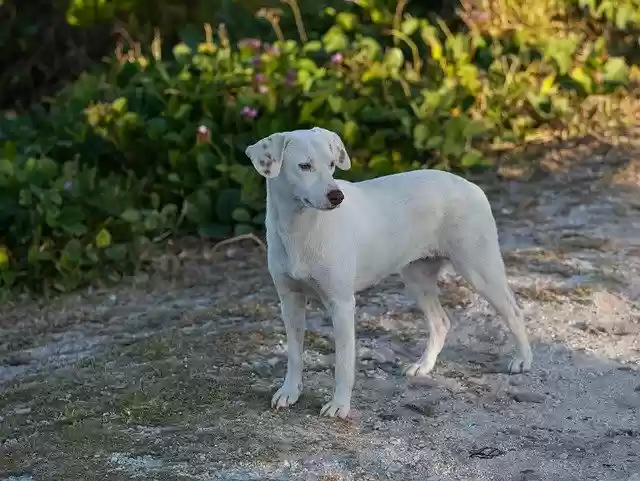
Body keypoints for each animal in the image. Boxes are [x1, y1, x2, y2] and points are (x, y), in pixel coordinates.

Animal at [242, 126, 532, 416]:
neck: (300, 229)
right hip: (417, 279)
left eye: (332, 164)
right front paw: (289, 392)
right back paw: (423, 366)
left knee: (514, 311)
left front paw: (339, 405)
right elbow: (294, 354)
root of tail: (472, 187)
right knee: (440, 322)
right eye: (304, 166)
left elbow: (343, 363)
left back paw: (522, 360)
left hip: (479, 269)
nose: (337, 196)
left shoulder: (341, 304)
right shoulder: (289, 300)